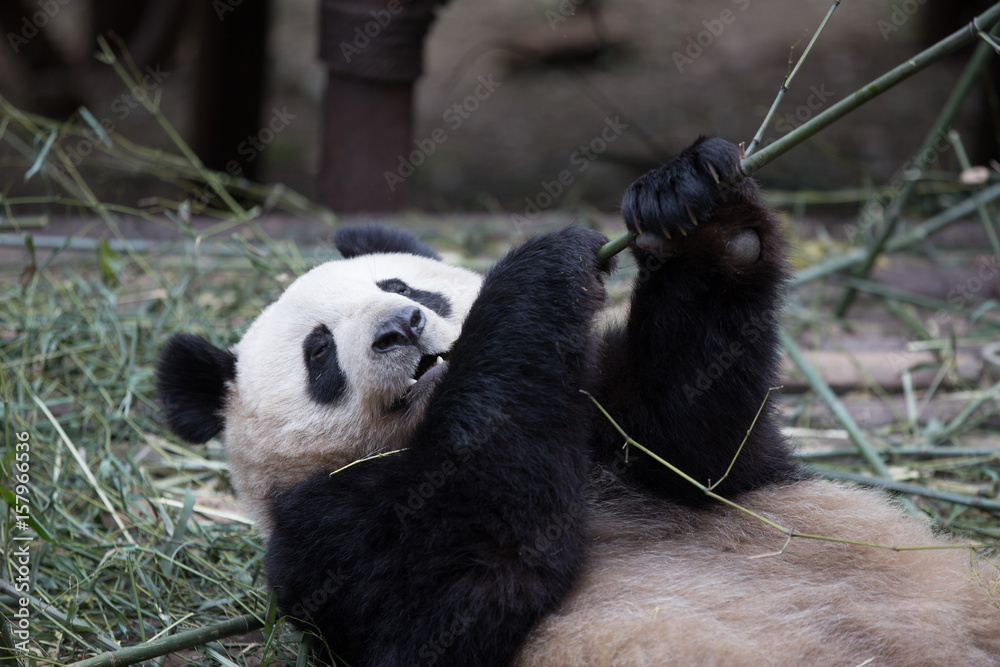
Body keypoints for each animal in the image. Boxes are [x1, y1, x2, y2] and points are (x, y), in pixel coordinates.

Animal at [158, 138, 1000, 667]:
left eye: (401, 285)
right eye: (320, 353)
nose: (401, 328)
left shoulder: (611, 426)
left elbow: (699, 443)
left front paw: (696, 206)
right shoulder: (325, 539)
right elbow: (462, 587)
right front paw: (534, 274)